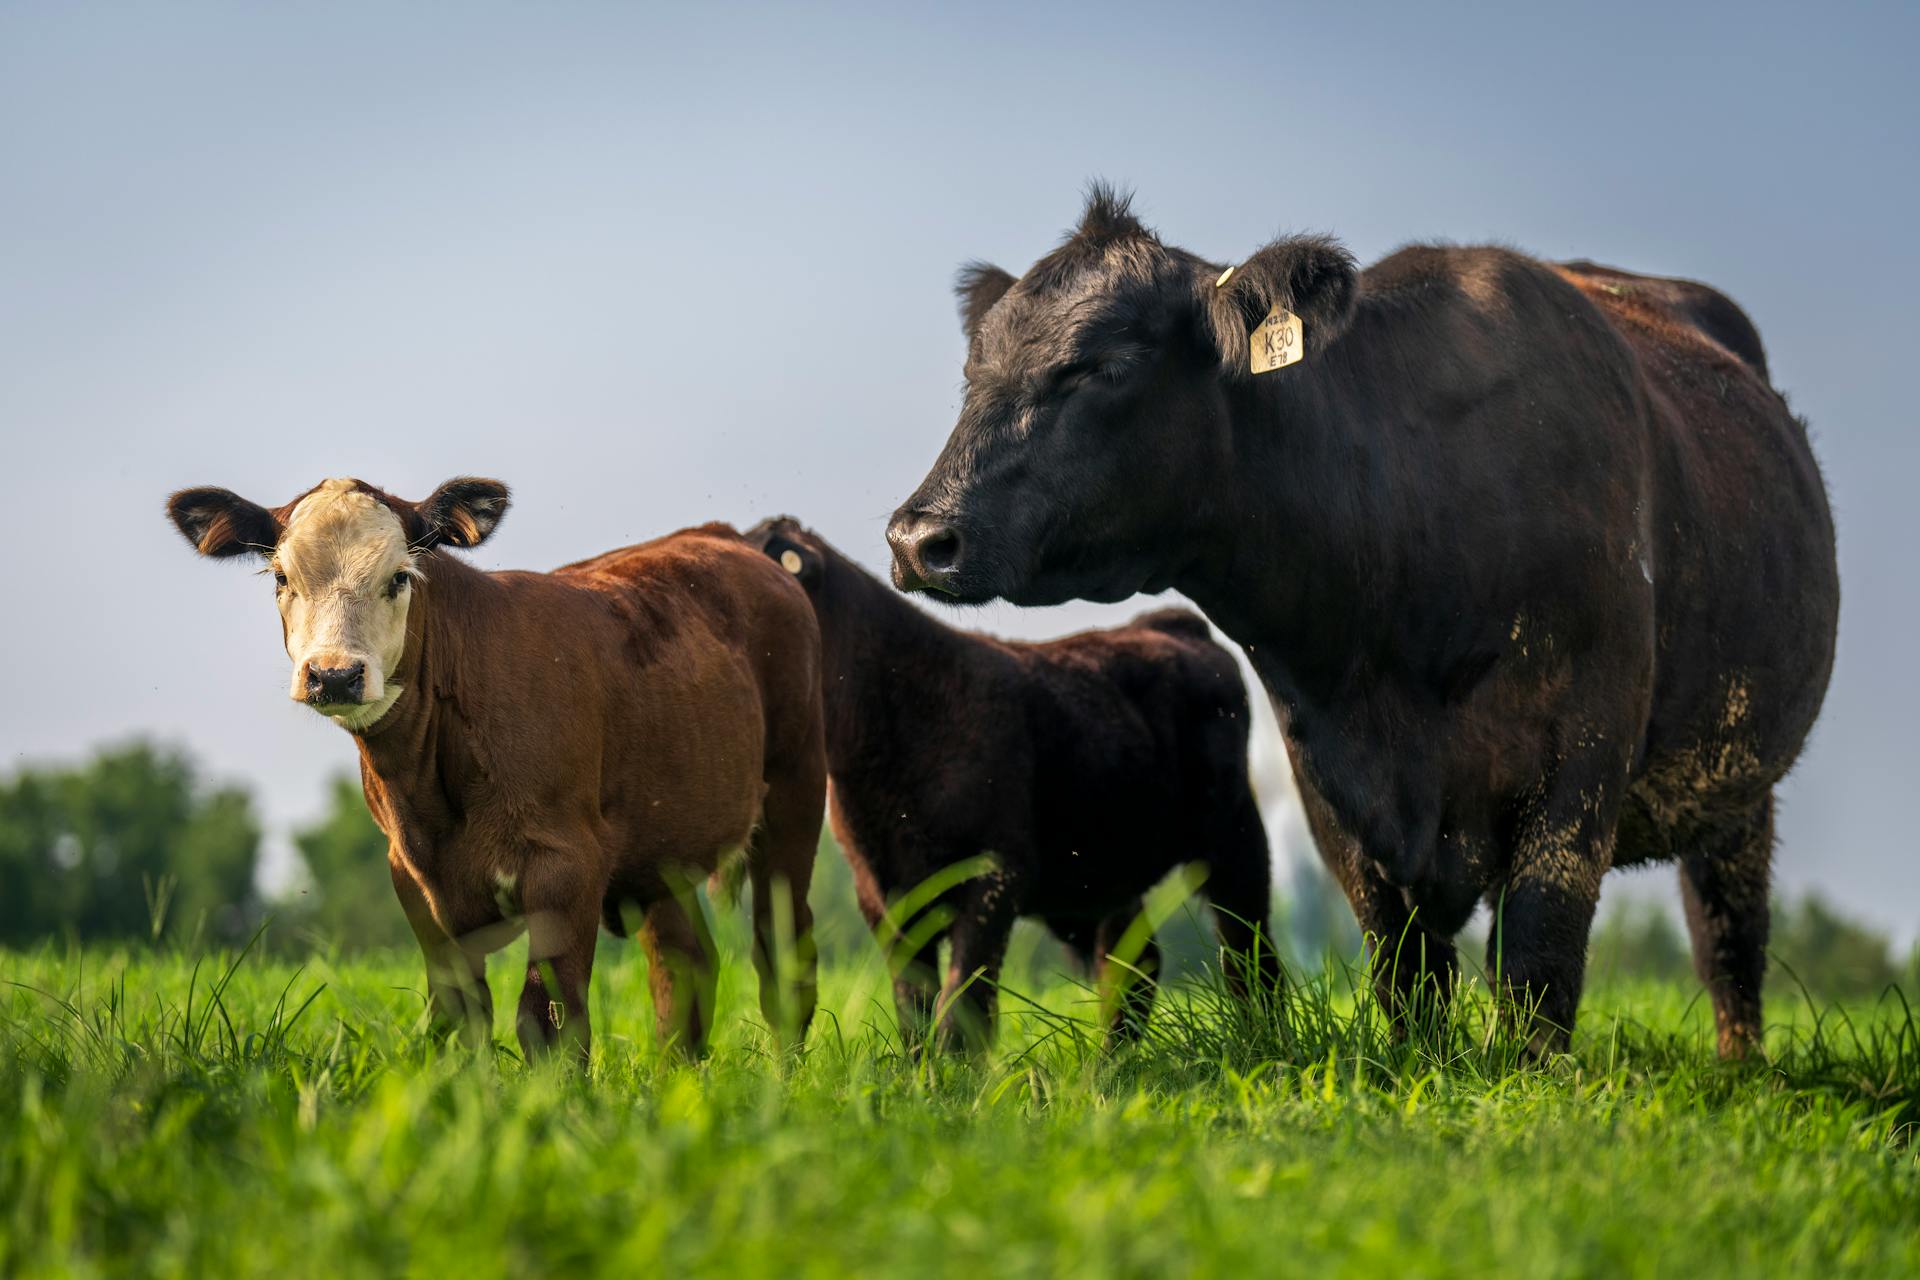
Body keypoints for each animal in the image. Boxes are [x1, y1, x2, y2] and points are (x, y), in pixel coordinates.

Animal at [166, 477, 827, 1063]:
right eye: (282, 577)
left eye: (399, 577)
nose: (334, 675)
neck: (430, 788)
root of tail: (727, 537)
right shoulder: (415, 880)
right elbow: (461, 1016)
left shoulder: (567, 868)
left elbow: (548, 1022)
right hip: (660, 848)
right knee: (683, 964)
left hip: (793, 798)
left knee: (784, 958)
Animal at [744, 517, 1278, 1051]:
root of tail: (1169, 623)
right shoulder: (885, 893)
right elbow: (914, 1007)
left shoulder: (996, 874)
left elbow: (963, 1003)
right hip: (1106, 872)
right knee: (1134, 969)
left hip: (1235, 839)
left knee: (1248, 953)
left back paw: (1264, 1044)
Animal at [887, 186, 1840, 1058]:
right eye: (974, 371)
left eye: (1102, 366)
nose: (917, 538)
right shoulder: (1331, 776)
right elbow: (1403, 967)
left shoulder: (1584, 751)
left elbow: (1538, 953)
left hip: (1739, 777)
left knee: (1728, 934)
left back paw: (1741, 1072)